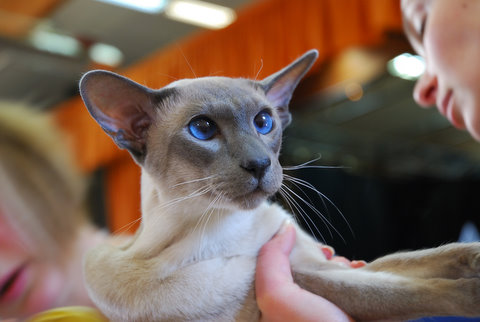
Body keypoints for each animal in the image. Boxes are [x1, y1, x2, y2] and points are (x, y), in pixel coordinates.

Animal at [79, 49, 480, 320]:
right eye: (202, 129)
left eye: (263, 122)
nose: (259, 164)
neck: (233, 227)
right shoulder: (301, 275)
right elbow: (394, 291)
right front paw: (471, 293)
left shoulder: (326, 260)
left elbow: (418, 257)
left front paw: (474, 256)